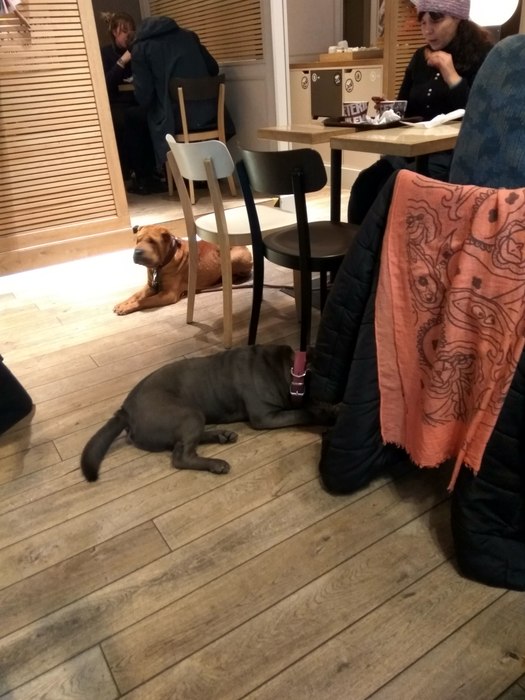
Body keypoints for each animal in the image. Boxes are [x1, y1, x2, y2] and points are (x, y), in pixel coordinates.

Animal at [80, 344, 335, 481]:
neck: (289, 370)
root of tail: (125, 410)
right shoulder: (265, 416)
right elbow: (302, 413)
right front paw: (325, 415)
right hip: (189, 414)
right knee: (181, 455)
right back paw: (216, 463)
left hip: (193, 417)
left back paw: (222, 435)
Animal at [113, 224, 253, 315]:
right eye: (137, 240)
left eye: (152, 241)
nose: (137, 252)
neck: (162, 264)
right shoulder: (150, 285)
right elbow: (136, 295)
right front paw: (122, 304)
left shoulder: (168, 294)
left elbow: (145, 300)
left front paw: (127, 307)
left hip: (236, 257)